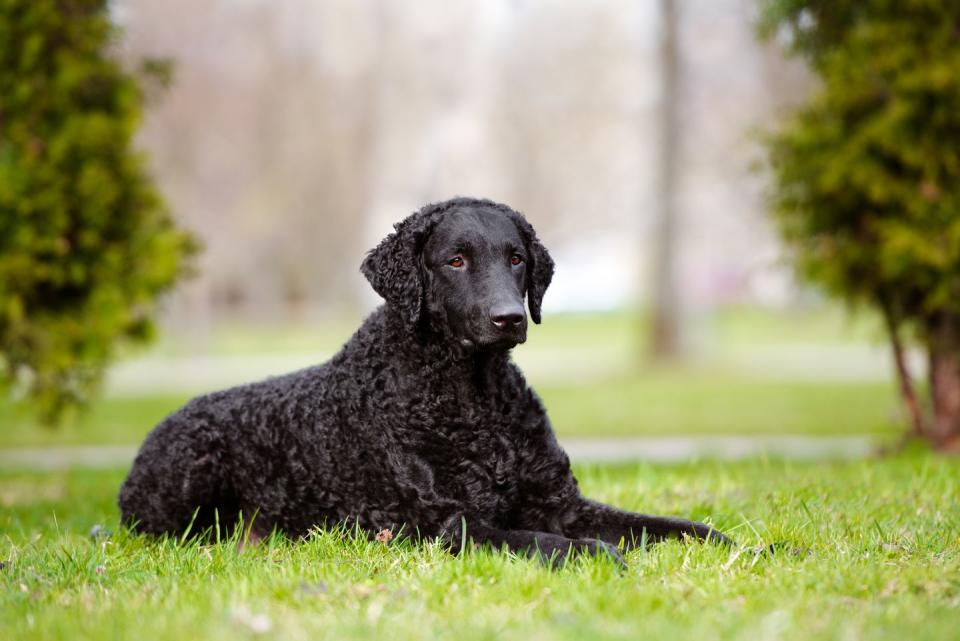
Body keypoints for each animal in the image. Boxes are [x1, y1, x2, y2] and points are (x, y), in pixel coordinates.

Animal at [122, 198, 728, 564]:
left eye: (516, 258)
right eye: (455, 260)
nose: (509, 317)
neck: (474, 399)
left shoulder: (565, 503)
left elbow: (668, 525)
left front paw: (737, 545)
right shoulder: (447, 523)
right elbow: (542, 539)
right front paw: (598, 555)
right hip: (191, 472)